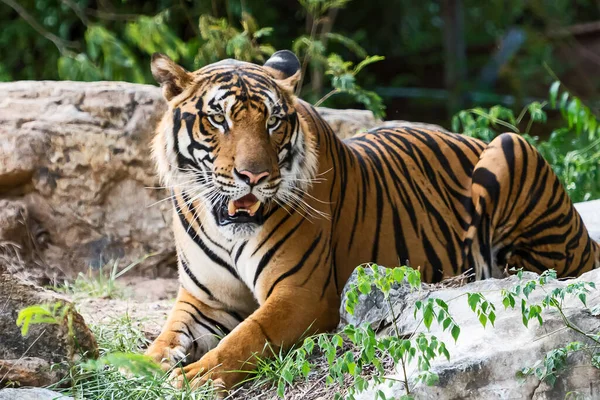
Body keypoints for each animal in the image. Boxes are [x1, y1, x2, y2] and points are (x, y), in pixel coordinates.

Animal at [145, 47, 600, 390]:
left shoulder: (302, 293)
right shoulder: (205, 299)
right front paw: (139, 365)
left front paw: (193, 378)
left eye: (273, 121)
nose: (254, 177)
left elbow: (246, 337)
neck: (224, 227)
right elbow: (166, 336)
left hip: (510, 145)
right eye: (218, 119)